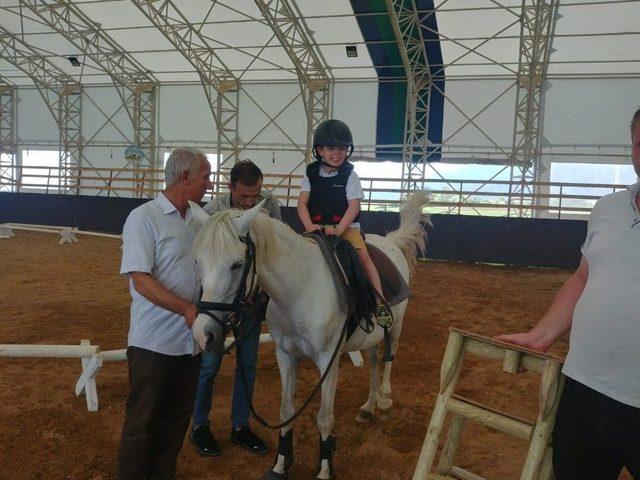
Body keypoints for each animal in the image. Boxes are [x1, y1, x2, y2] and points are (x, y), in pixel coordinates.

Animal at [190, 192, 430, 480]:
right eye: (198, 262)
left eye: (237, 265)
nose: (203, 333)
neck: (300, 289)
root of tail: (390, 241)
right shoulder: (285, 355)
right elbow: (286, 411)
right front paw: (281, 464)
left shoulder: (329, 360)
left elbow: (325, 419)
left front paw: (325, 469)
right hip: (368, 338)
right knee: (373, 362)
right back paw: (368, 407)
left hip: (394, 327)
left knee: (388, 359)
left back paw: (383, 401)